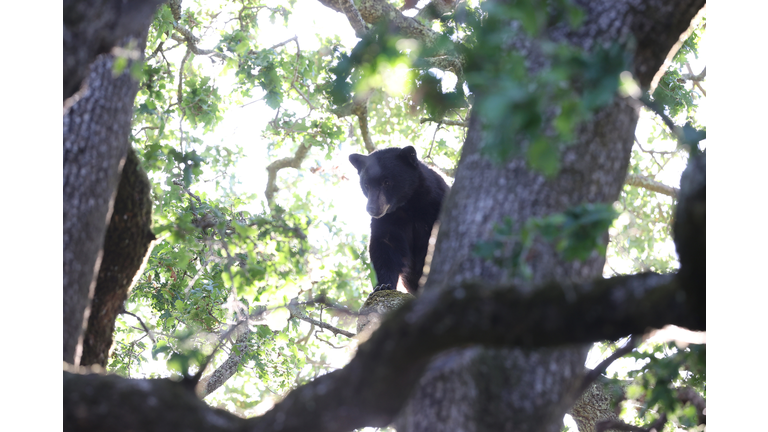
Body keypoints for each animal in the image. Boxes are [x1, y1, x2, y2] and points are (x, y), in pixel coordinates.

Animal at [349, 146, 449, 294]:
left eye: (386, 182)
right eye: (366, 184)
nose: (372, 208)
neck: (408, 205)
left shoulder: (435, 205)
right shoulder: (389, 219)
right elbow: (385, 247)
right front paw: (383, 285)